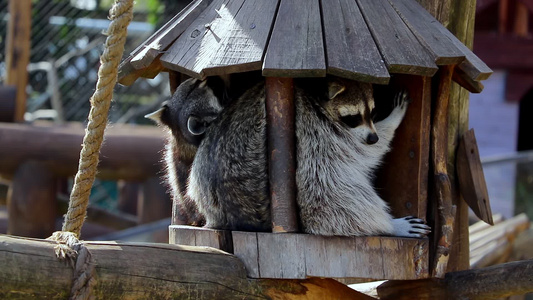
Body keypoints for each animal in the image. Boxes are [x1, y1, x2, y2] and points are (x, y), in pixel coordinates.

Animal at [298, 78, 430, 238]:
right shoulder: (323, 131)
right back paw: (391, 226)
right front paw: (394, 117)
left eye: (372, 113)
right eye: (353, 117)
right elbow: (368, 151)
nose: (373, 138)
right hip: (320, 188)